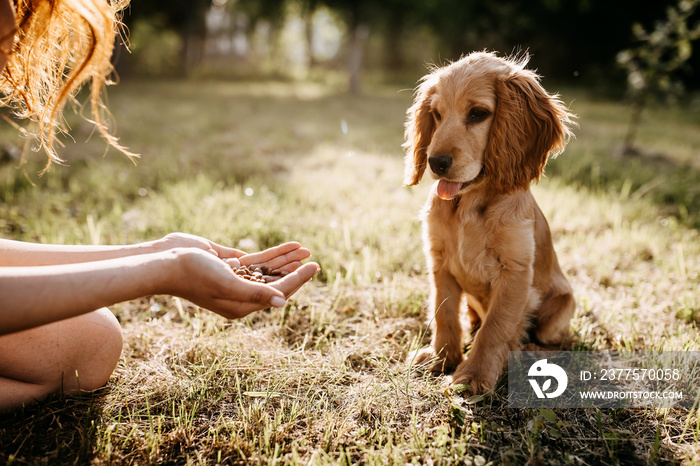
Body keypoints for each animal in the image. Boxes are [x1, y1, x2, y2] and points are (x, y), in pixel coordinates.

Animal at [402, 51, 576, 394]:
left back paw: (528, 350)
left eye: (478, 114)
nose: (435, 162)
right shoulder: (439, 262)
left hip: (562, 308)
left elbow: (496, 328)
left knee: (555, 340)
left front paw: (474, 375)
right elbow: (444, 313)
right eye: (437, 114)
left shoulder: (515, 271)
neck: (469, 206)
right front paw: (441, 358)